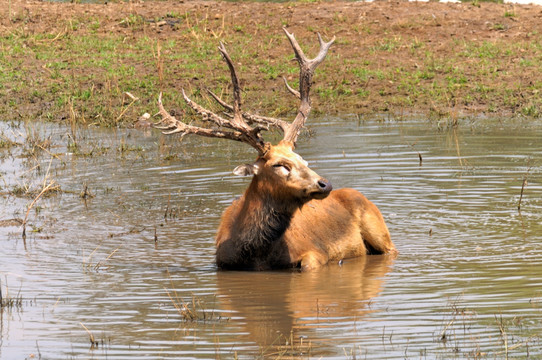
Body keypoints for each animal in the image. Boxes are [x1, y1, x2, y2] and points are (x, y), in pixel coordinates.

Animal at [155, 28, 398, 270]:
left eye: (303, 160)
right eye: (280, 165)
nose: (325, 183)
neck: (257, 254)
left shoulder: (315, 252)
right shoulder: (221, 263)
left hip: (379, 229)